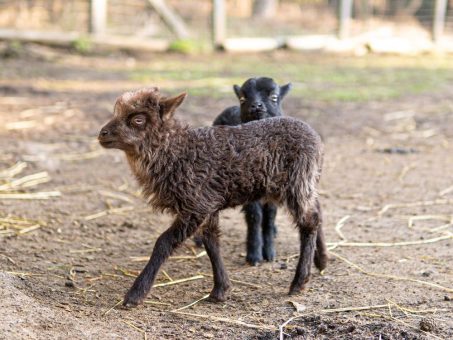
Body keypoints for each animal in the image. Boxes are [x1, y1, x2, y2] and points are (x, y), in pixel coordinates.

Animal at [97, 86, 326, 306]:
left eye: (138, 119)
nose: (102, 133)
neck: (177, 152)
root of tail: (314, 137)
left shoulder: (197, 205)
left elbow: (164, 243)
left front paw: (135, 295)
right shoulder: (207, 205)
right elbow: (212, 243)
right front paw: (220, 290)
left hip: (296, 182)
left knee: (309, 222)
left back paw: (299, 281)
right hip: (302, 182)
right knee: (317, 209)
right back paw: (322, 260)